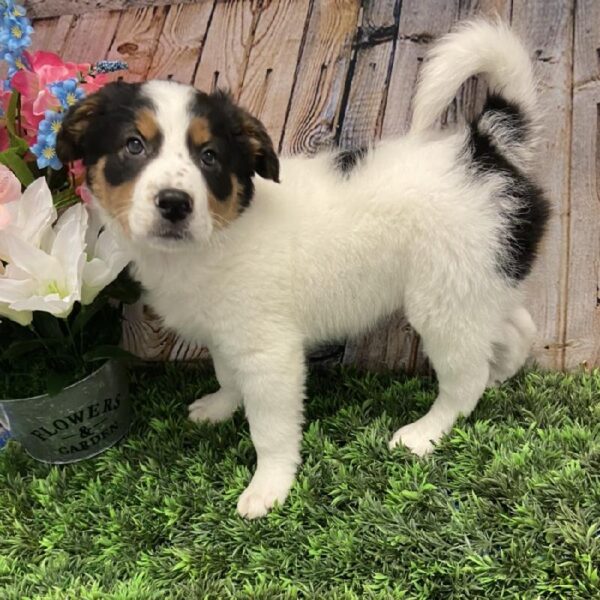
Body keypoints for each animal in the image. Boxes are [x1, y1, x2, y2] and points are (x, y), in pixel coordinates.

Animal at [57, 21, 548, 516]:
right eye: (133, 146)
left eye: (209, 156)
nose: (175, 203)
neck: (219, 236)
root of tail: (486, 148)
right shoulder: (226, 334)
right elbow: (227, 375)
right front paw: (219, 408)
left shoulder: (270, 352)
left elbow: (269, 430)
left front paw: (268, 489)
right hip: (480, 279)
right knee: (515, 326)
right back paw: (500, 373)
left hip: (443, 300)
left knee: (465, 379)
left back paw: (424, 432)